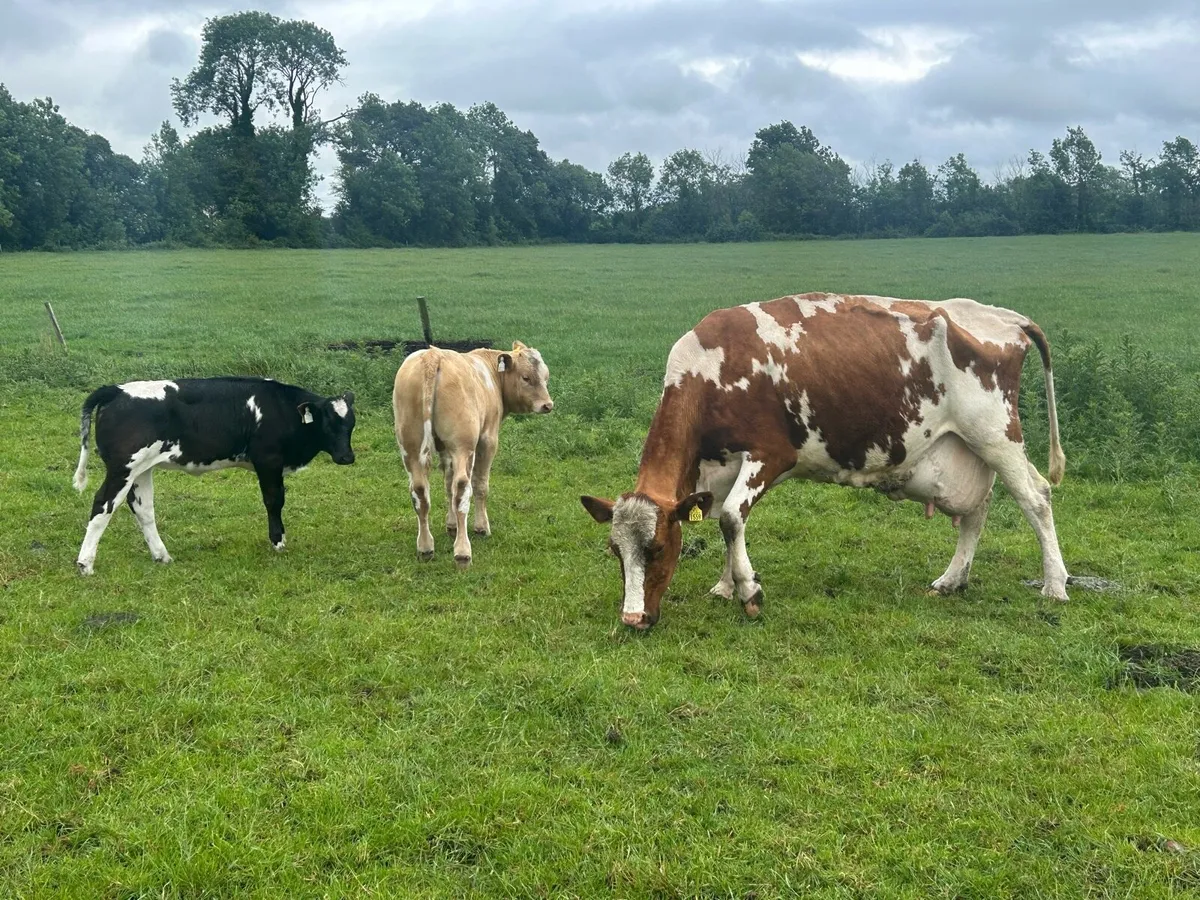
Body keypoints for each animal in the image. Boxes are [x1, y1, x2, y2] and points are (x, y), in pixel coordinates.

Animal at [73, 377, 357, 575]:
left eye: (351, 424)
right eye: (327, 423)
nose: (347, 457)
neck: (281, 408)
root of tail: (116, 389)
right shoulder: (268, 460)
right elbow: (274, 501)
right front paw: (278, 542)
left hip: (141, 469)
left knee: (143, 509)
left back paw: (162, 556)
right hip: (123, 468)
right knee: (102, 505)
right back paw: (85, 564)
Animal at [393, 341, 553, 567]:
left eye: (546, 377)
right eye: (526, 377)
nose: (548, 405)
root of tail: (433, 355)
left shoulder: (446, 449)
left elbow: (447, 485)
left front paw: (451, 525)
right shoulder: (488, 440)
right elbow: (480, 485)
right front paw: (481, 527)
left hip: (410, 447)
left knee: (420, 490)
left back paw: (425, 546)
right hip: (464, 447)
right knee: (462, 488)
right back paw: (462, 551)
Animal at [581, 292, 1068, 630]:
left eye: (657, 548)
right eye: (615, 551)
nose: (633, 619)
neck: (710, 368)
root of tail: (1005, 316)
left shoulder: (770, 455)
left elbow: (732, 519)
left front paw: (749, 592)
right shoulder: (718, 466)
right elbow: (723, 519)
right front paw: (725, 585)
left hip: (995, 434)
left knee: (1036, 497)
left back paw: (1055, 585)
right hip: (967, 448)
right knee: (977, 510)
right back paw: (952, 580)